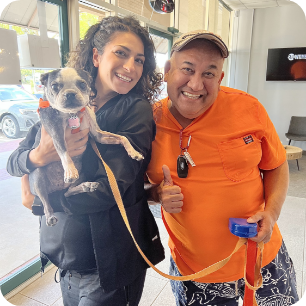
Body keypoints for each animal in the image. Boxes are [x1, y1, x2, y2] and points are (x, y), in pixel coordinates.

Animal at [28, 67, 143, 225]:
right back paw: (50, 215)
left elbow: (123, 137)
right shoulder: (55, 132)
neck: (73, 114)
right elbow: (64, 151)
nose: (70, 93)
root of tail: (56, 188)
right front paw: (70, 171)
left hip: (81, 174)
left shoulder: (97, 135)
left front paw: (134, 152)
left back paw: (86, 186)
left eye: (82, 84)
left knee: (68, 192)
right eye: (54, 86)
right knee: (45, 201)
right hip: (38, 176)